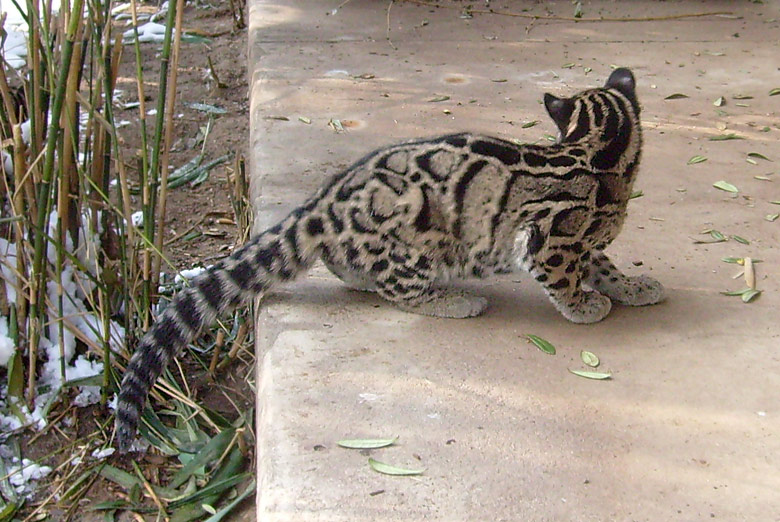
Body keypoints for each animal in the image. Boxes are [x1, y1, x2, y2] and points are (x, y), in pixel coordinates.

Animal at [116, 68, 664, 450]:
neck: (599, 151)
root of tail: (321, 205)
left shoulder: (586, 240)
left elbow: (604, 264)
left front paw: (633, 287)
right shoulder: (552, 240)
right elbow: (566, 277)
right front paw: (585, 307)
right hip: (414, 225)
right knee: (399, 286)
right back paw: (453, 300)